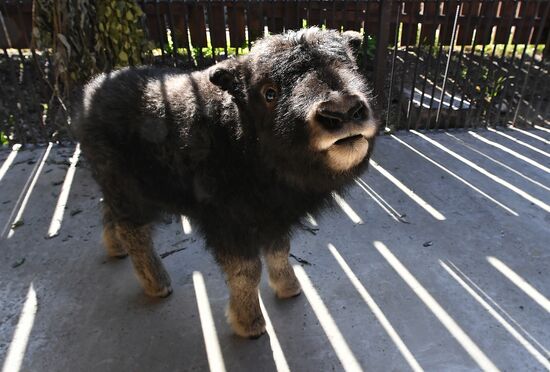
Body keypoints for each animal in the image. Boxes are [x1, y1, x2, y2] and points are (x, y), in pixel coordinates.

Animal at [76, 27, 380, 338]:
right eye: (269, 92)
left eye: (352, 68)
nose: (342, 110)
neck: (238, 134)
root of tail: (90, 93)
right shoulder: (230, 224)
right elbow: (246, 271)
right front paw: (250, 324)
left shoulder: (271, 216)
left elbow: (280, 250)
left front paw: (289, 288)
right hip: (129, 191)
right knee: (134, 232)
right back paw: (158, 284)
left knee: (111, 214)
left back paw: (116, 249)